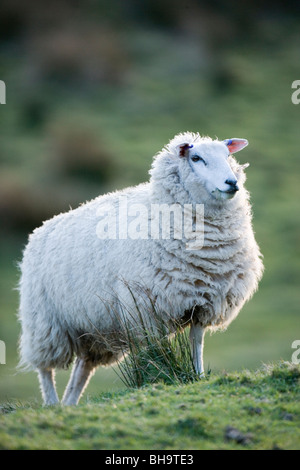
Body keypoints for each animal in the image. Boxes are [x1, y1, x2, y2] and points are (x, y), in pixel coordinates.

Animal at [17, 131, 264, 404]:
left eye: (228, 156)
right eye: (196, 158)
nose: (232, 183)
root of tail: (41, 228)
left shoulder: (203, 302)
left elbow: (196, 343)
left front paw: (197, 376)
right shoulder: (145, 310)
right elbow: (156, 352)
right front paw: (157, 375)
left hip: (93, 329)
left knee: (82, 369)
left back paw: (69, 404)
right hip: (45, 322)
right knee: (45, 368)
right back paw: (52, 403)